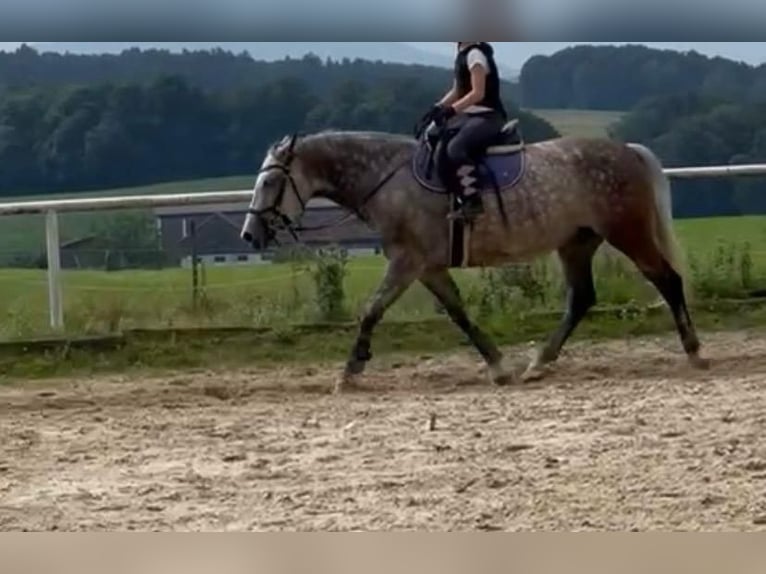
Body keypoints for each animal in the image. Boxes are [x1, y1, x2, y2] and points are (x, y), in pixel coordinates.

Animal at [242, 125, 712, 396]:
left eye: (270, 182)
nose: (250, 234)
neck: (387, 179)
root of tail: (627, 151)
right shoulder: (428, 267)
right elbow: (459, 314)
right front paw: (499, 367)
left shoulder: (407, 262)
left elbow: (371, 310)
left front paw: (350, 371)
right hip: (577, 243)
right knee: (581, 298)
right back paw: (538, 363)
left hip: (627, 233)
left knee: (667, 280)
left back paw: (693, 352)